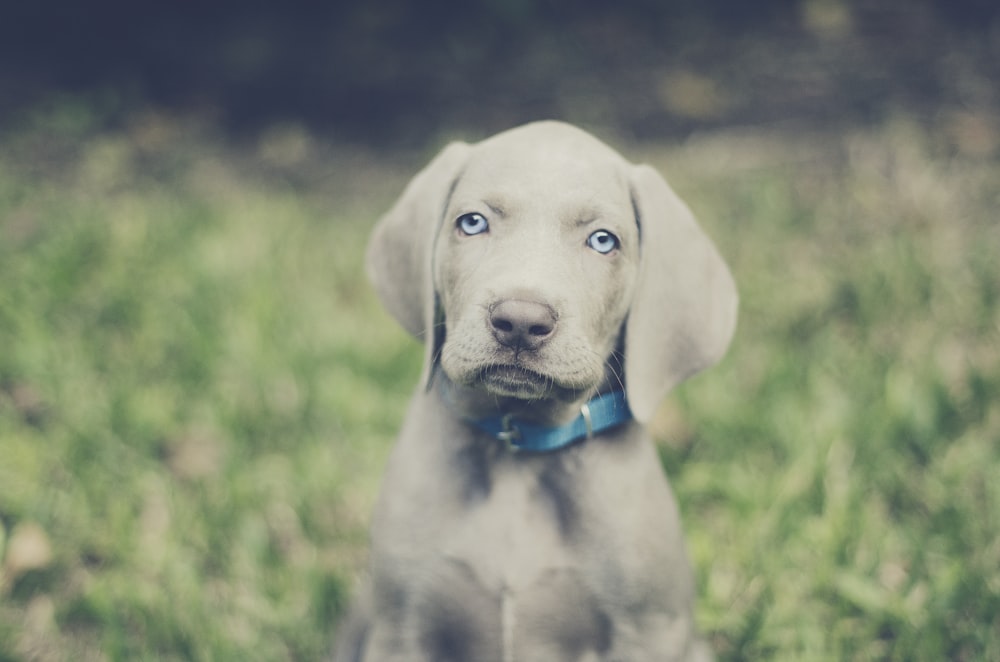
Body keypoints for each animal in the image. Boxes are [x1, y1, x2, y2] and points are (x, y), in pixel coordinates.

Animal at [336, 122, 736, 660]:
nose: (521, 321)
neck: (520, 449)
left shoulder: (648, 631)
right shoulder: (401, 631)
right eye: (472, 223)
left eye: (603, 240)